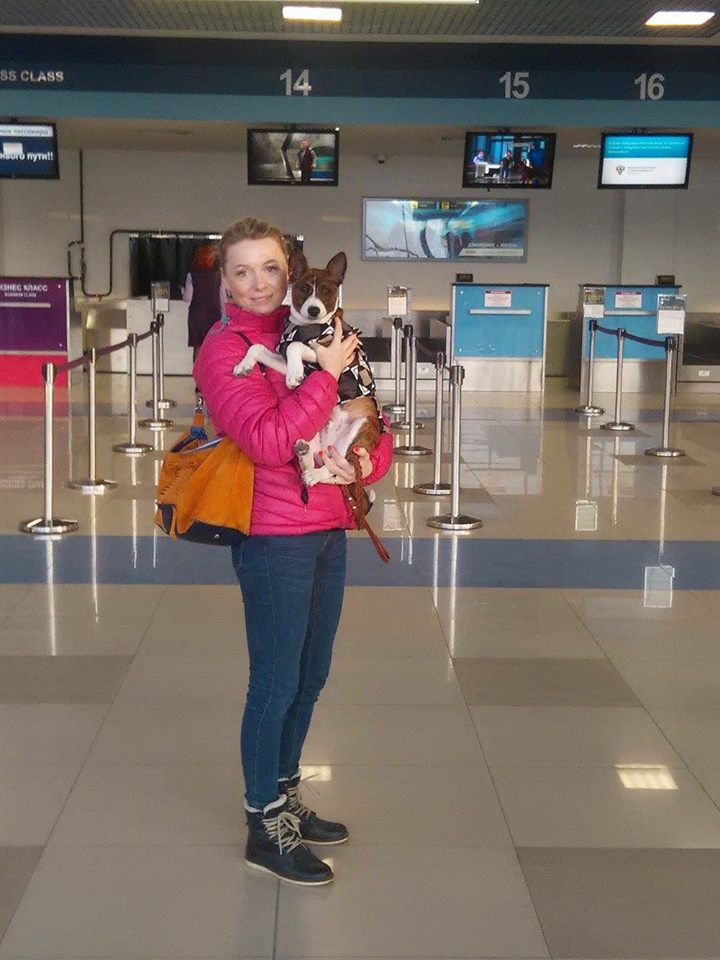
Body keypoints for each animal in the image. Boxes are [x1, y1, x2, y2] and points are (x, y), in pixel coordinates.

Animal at [233, 249, 383, 502]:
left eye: (326, 290)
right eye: (303, 288)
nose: (314, 310)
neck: (304, 327)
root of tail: (330, 444)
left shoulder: (329, 350)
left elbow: (297, 346)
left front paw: (294, 376)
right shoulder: (283, 357)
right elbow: (258, 348)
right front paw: (244, 365)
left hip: (359, 432)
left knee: (340, 468)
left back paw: (315, 475)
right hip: (313, 428)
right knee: (318, 461)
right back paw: (304, 457)